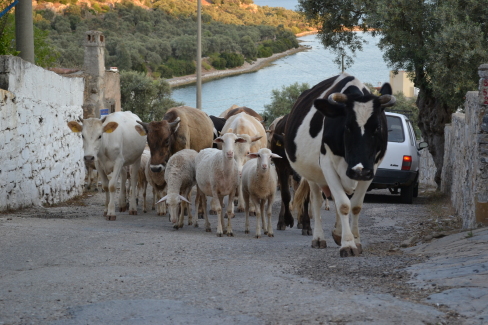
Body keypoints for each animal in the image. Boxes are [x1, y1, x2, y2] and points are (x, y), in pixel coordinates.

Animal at [284, 73, 394, 256]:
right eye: (347, 127)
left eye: (377, 127)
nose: (359, 171)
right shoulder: (327, 165)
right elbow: (343, 205)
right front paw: (348, 244)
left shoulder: (372, 169)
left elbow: (355, 206)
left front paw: (355, 240)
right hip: (312, 175)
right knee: (316, 201)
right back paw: (319, 238)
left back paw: (337, 233)